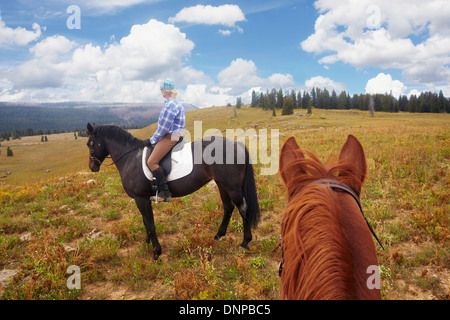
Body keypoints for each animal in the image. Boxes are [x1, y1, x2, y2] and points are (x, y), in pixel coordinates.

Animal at [86, 122, 260, 260]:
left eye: (90, 144)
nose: (92, 167)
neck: (131, 158)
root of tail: (237, 145)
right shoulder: (142, 199)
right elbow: (145, 221)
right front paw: (147, 243)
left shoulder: (141, 198)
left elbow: (150, 224)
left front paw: (156, 252)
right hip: (221, 184)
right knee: (228, 207)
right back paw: (218, 235)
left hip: (232, 187)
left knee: (243, 209)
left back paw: (245, 241)